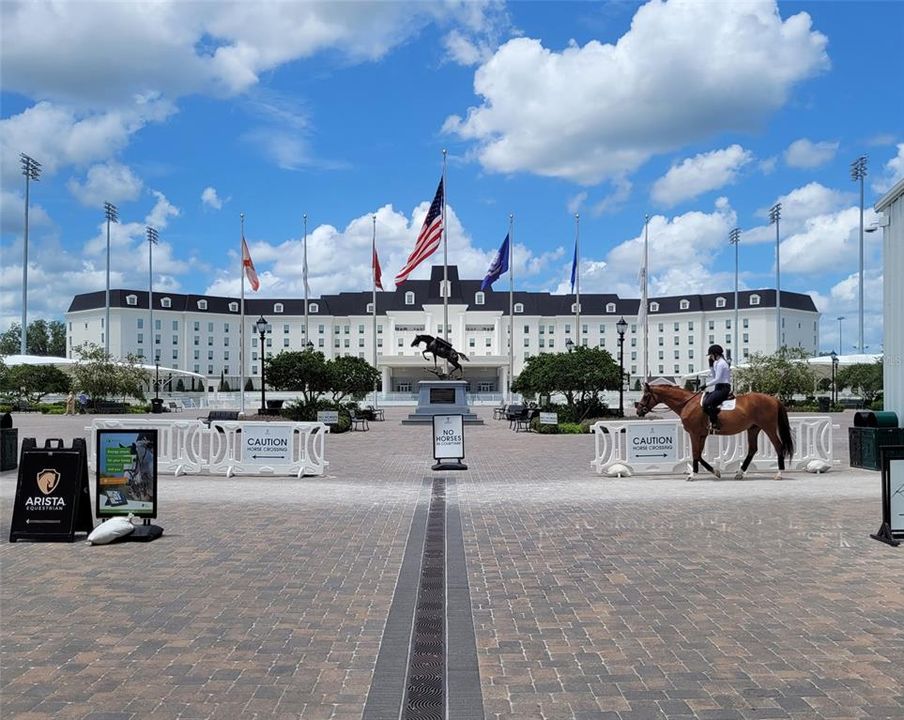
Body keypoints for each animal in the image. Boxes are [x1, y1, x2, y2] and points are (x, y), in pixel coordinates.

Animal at [632, 386, 796, 480]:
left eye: (646, 395)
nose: (639, 411)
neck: (687, 403)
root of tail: (773, 399)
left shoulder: (694, 433)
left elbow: (695, 454)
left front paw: (693, 474)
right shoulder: (702, 434)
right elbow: (699, 454)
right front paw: (715, 472)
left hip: (768, 427)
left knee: (778, 446)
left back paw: (779, 474)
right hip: (753, 428)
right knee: (752, 449)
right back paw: (739, 473)